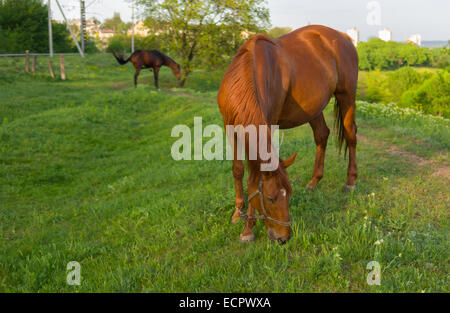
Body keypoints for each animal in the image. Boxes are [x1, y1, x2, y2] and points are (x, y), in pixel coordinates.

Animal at [218, 25, 358, 244]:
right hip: (314, 109)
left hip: (347, 96)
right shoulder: (230, 128)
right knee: (322, 135)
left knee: (351, 135)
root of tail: (344, 38)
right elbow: (238, 170)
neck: (246, 76)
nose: (283, 237)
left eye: (289, 196)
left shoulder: (269, 123)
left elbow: (253, 176)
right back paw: (314, 182)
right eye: (270, 198)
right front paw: (237, 213)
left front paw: (248, 229)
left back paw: (350, 182)